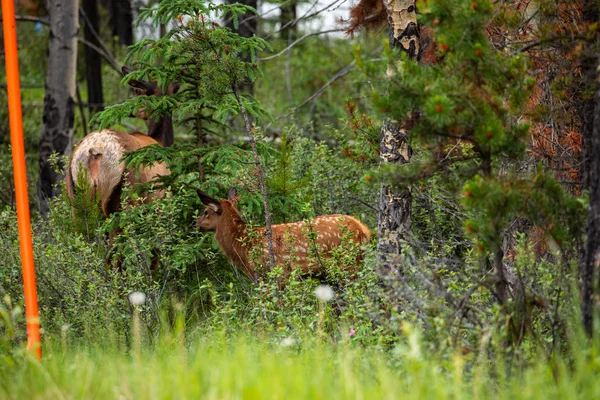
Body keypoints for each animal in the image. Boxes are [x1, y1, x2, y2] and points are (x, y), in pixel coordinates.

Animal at [197, 189, 372, 282]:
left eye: (205, 212)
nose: (196, 223)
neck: (244, 246)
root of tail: (364, 230)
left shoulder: (275, 272)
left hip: (348, 263)